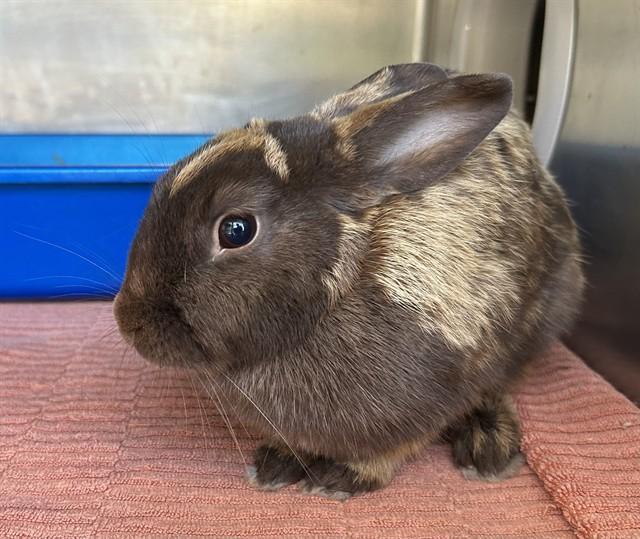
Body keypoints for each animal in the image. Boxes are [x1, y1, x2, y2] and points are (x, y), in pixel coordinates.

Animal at [114, 63, 584, 500]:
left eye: (235, 230)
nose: (128, 321)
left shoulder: (428, 399)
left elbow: (394, 447)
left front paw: (340, 479)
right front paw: (276, 464)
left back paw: (488, 448)